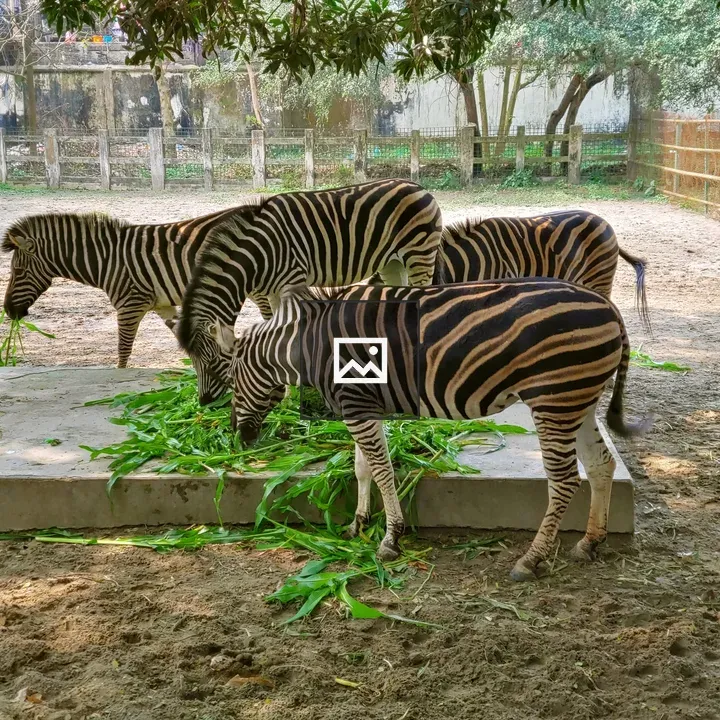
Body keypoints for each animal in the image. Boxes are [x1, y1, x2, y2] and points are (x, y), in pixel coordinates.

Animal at [1, 205, 276, 368]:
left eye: (18, 272)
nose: (9, 312)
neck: (106, 260)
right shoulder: (161, 305)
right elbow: (181, 335)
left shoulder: (130, 304)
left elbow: (123, 350)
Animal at [176, 179, 443, 406]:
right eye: (193, 363)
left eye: (212, 363)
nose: (204, 402)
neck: (259, 256)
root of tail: (419, 187)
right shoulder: (272, 290)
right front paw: (285, 396)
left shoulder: (293, 282)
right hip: (392, 263)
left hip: (420, 253)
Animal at [216, 279, 651, 581]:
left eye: (231, 382)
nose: (239, 438)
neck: (307, 343)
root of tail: (609, 307)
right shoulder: (359, 404)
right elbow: (362, 468)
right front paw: (358, 523)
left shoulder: (356, 403)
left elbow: (383, 472)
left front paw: (390, 538)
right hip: (578, 398)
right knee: (600, 465)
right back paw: (590, 542)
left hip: (554, 399)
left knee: (563, 480)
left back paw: (531, 559)